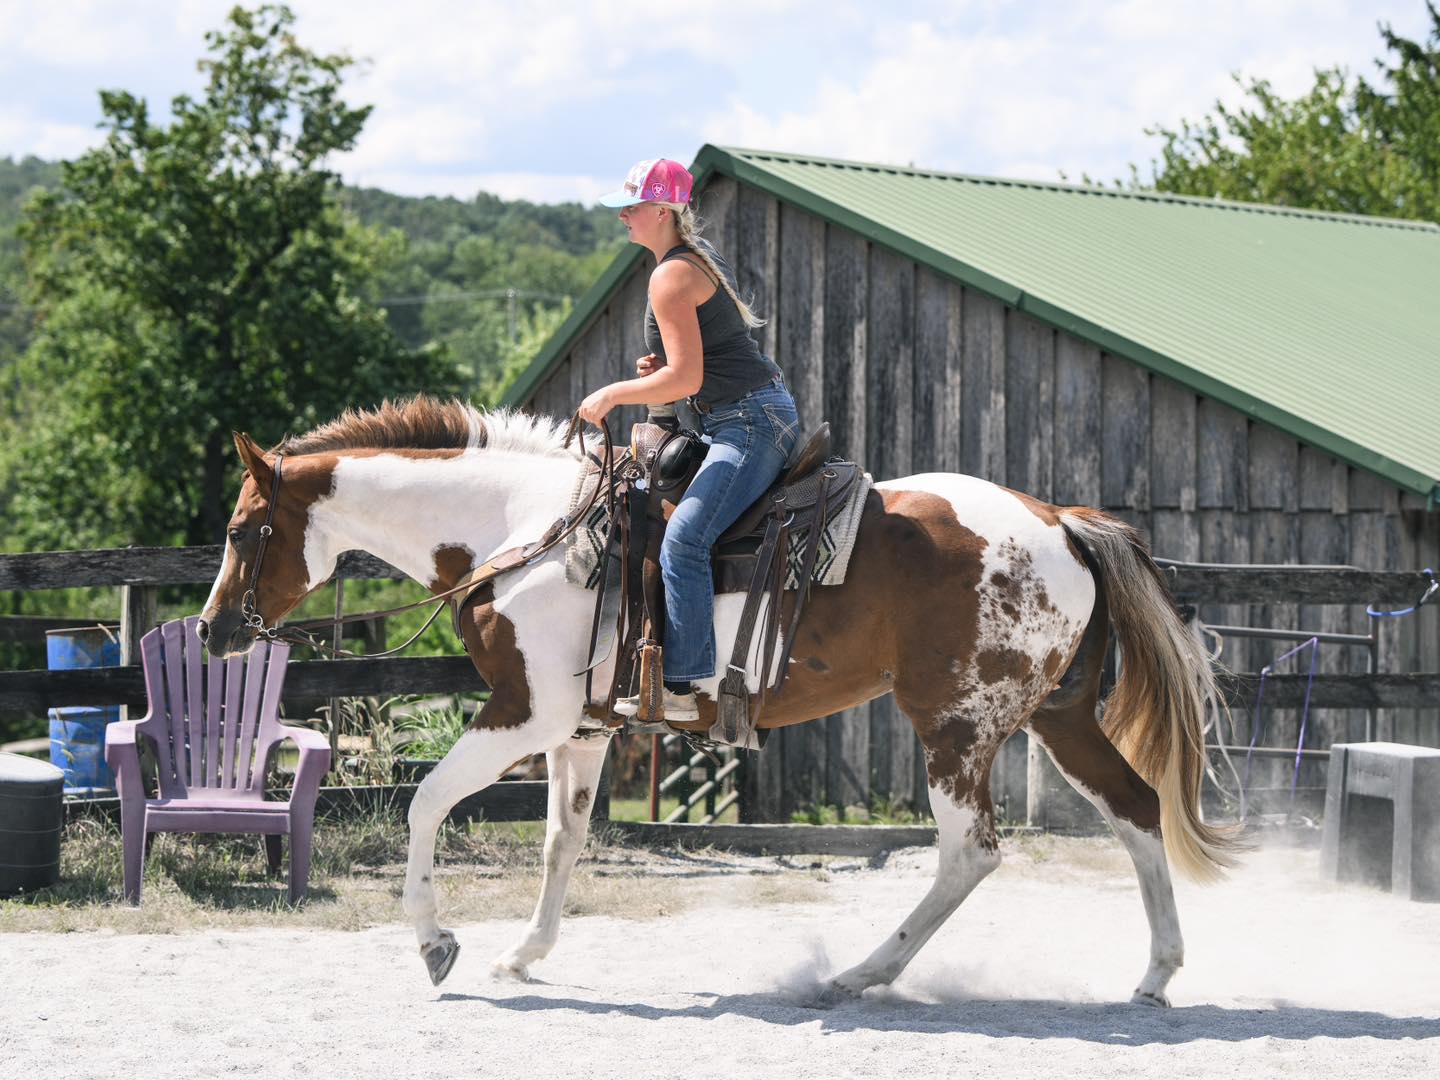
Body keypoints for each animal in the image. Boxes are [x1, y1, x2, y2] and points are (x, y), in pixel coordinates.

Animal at [197, 395, 1238, 1006]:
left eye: (246, 530)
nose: (211, 630)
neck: (523, 529)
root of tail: (1060, 521)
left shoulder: (524, 716)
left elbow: (423, 804)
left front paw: (436, 945)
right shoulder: (580, 730)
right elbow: (561, 841)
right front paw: (525, 953)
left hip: (956, 727)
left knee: (969, 854)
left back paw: (859, 973)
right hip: (1058, 719)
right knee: (1137, 811)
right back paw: (1156, 974)